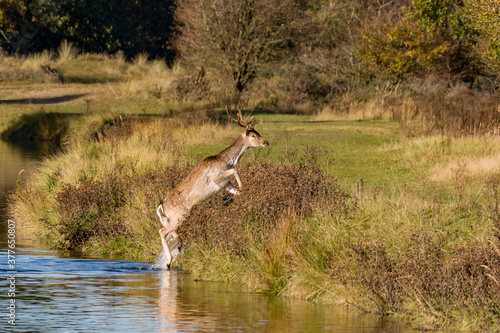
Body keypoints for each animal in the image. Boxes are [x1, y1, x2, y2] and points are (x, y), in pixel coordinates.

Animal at [156, 105, 270, 268]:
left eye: (258, 133)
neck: (228, 160)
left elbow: (235, 189)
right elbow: (235, 170)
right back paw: (168, 261)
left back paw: (177, 247)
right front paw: (243, 186)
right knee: (162, 231)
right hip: (179, 215)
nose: (266, 142)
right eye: (253, 135)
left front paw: (244, 197)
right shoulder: (216, 178)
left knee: (169, 231)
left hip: (171, 218)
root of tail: (162, 206)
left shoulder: (225, 183)